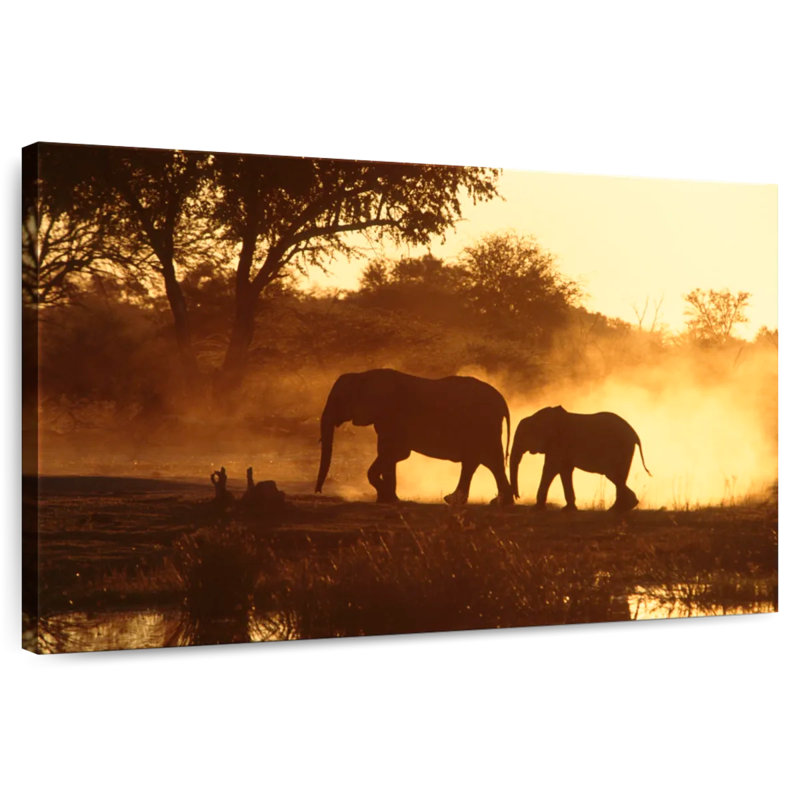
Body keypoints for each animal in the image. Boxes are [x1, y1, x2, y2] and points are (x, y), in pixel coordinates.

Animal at [314, 368, 514, 505]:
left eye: (338, 400)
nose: (318, 492)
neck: (363, 375)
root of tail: (502, 399)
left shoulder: (392, 416)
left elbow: (396, 453)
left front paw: (389, 497)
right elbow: (390, 454)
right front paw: (388, 499)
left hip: (483, 426)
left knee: (489, 461)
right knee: (478, 462)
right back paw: (464, 500)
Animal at [510, 406, 651, 511]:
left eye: (522, 436)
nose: (517, 496)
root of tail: (635, 434)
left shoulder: (559, 442)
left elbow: (551, 468)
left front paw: (536, 509)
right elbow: (564, 470)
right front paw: (568, 509)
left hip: (621, 448)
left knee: (613, 475)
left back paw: (622, 507)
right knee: (619, 477)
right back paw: (623, 507)